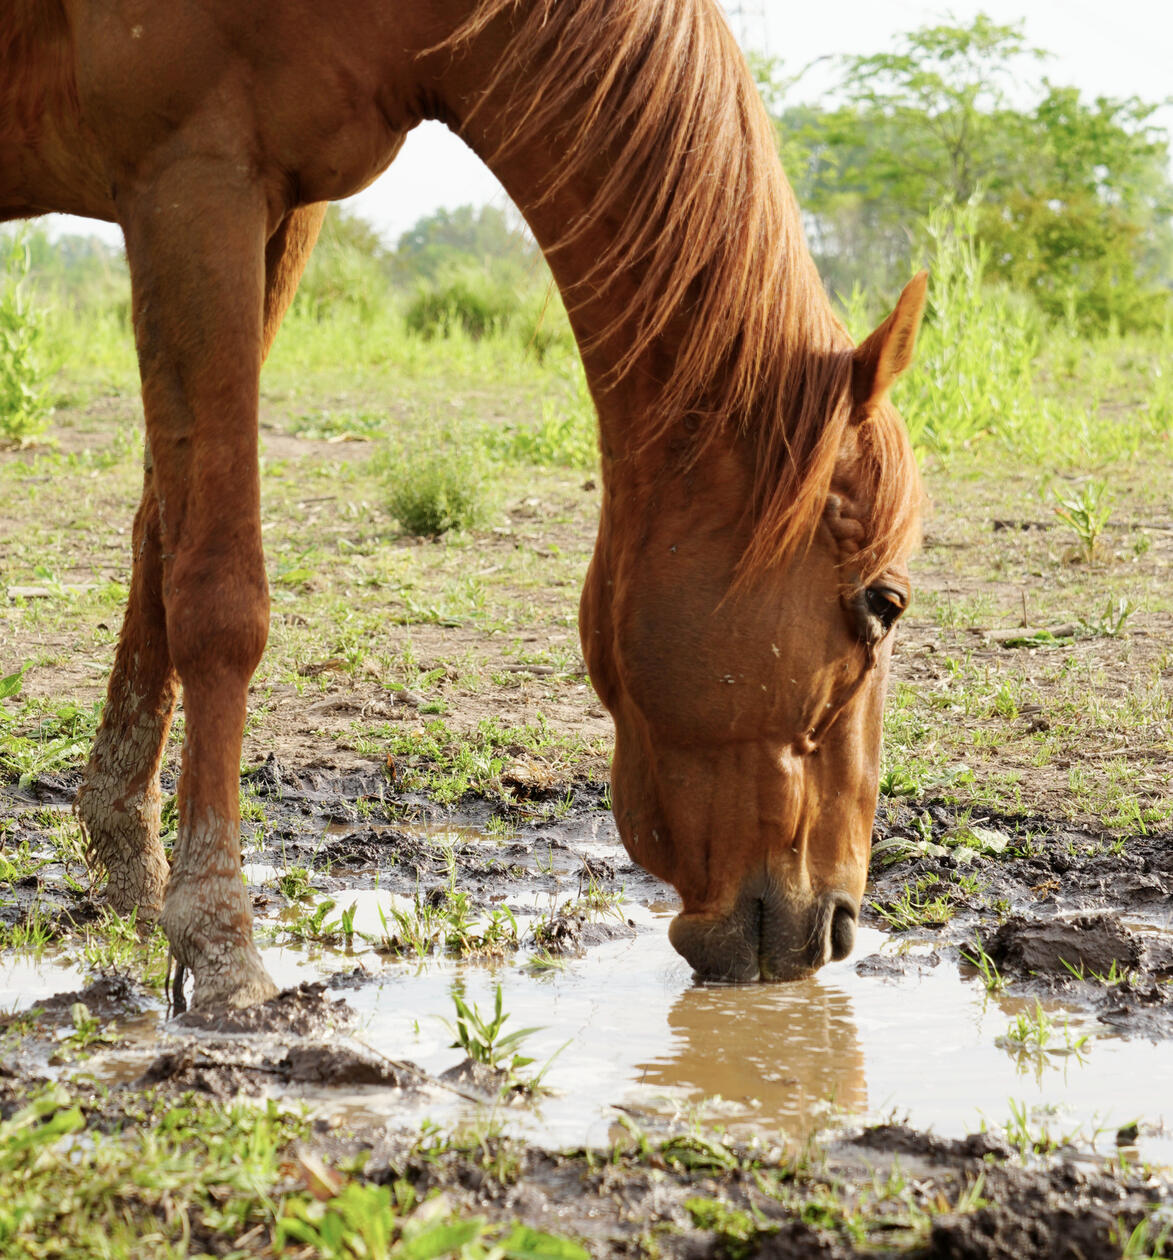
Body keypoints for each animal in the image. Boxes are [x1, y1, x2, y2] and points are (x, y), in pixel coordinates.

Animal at [1, 0, 926, 1008]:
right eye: (882, 602)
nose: (836, 927)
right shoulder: (192, 178)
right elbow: (218, 594)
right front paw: (221, 946)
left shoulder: (277, 210)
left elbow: (159, 543)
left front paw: (132, 867)